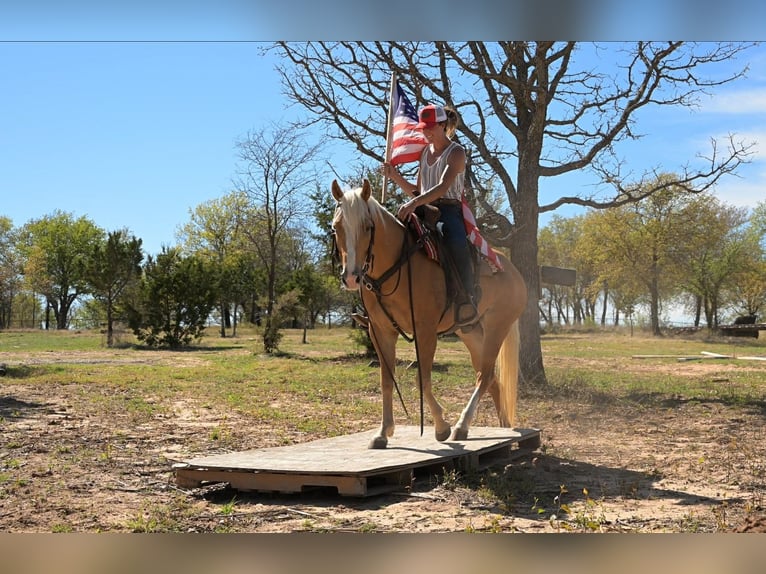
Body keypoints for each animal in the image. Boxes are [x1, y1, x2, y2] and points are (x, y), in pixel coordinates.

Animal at [331, 179, 528, 449]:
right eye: (336, 227)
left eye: (368, 227)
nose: (351, 277)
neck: (398, 264)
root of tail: (513, 270)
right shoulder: (379, 331)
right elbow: (386, 380)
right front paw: (383, 432)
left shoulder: (425, 330)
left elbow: (422, 379)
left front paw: (442, 427)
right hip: (471, 332)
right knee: (491, 380)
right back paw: (503, 428)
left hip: (497, 326)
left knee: (485, 375)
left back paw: (461, 427)